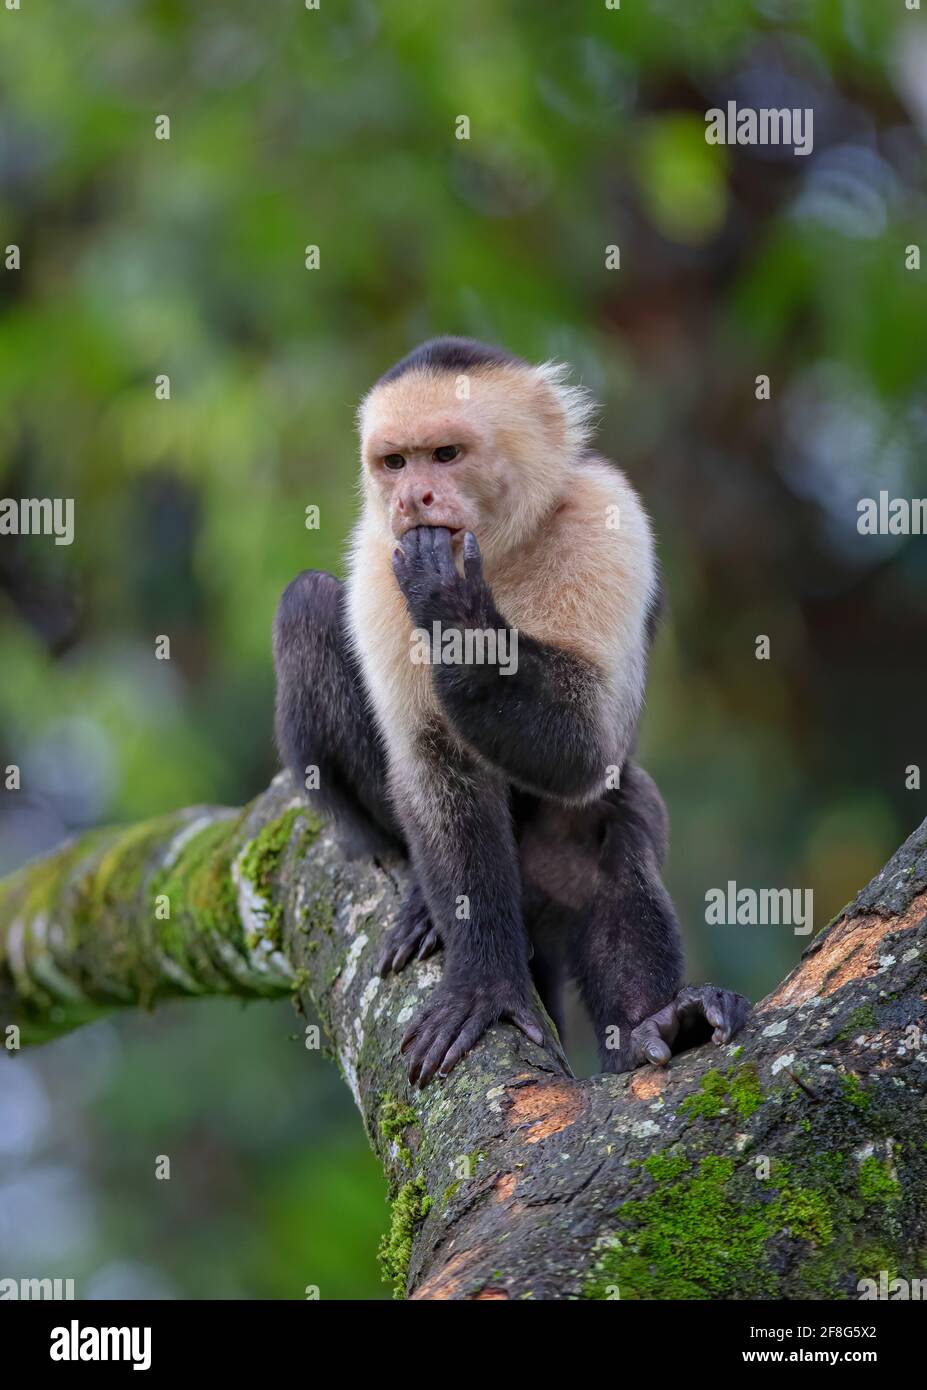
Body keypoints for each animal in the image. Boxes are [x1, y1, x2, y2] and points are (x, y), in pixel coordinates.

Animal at [272, 336, 750, 1084]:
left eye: (445, 455)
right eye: (394, 462)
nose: (412, 497)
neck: (494, 551)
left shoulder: (603, 511)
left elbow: (587, 749)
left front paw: (449, 601)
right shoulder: (379, 559)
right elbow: (435, 762)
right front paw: (484, 986)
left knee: (610, 815)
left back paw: (658, 1024)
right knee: (309, 605)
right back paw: (425, 907)